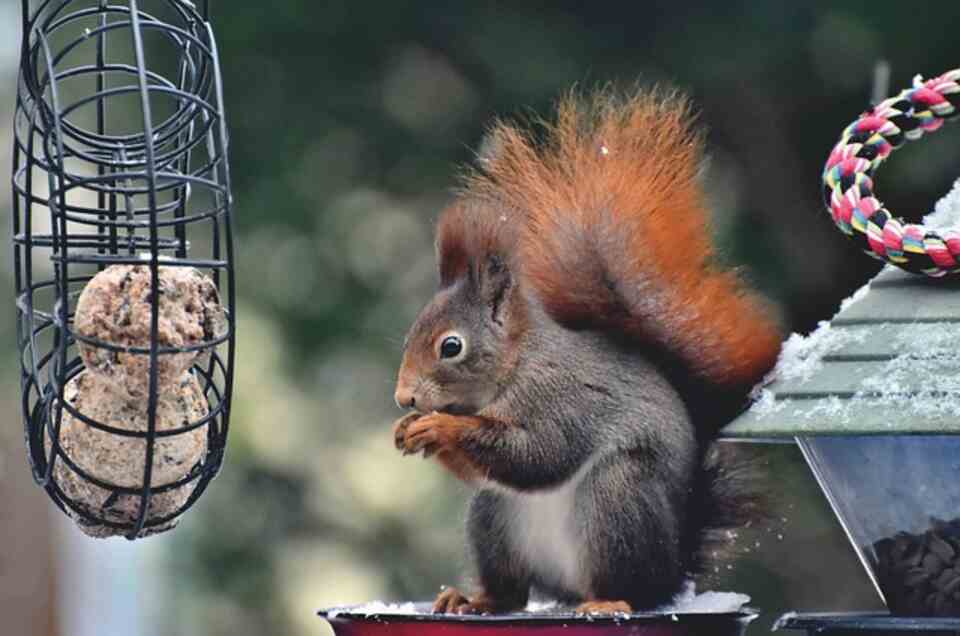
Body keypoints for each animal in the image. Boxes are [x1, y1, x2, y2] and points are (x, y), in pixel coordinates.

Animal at [394, 88, 784, 616]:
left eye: (450, 346)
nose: (404, 399)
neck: (515, 367)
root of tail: (673, 566)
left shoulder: (565, 398)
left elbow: (538, 454)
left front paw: (440, 427)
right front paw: (407, 430)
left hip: (618, 498)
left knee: (633, 586)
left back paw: (610, 602)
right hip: (492, 519)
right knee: (511, 589)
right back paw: (475, 601)